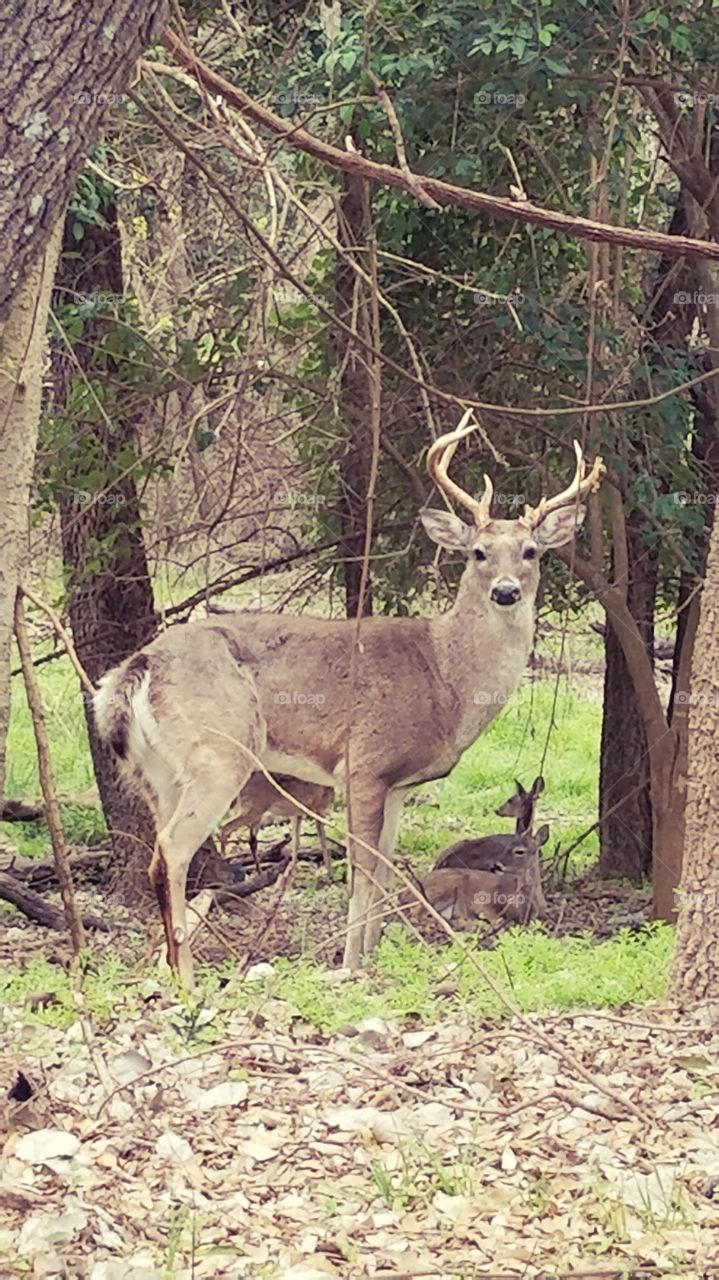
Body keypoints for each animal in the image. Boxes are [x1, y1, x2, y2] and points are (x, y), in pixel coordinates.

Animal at [92, 419, 601, 988]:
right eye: (478, 552)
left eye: (531, 550)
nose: (507, 592)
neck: (445, 678)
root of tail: (135, 667)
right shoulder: (365, 764)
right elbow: (361, 872)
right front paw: (349, 964)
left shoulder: (400, 784)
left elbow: (384, 869)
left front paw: (374, 955)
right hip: (218, 751)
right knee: (172, 851)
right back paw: (188, 979)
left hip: (157, 772)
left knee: (158, 850)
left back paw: (166, 968)